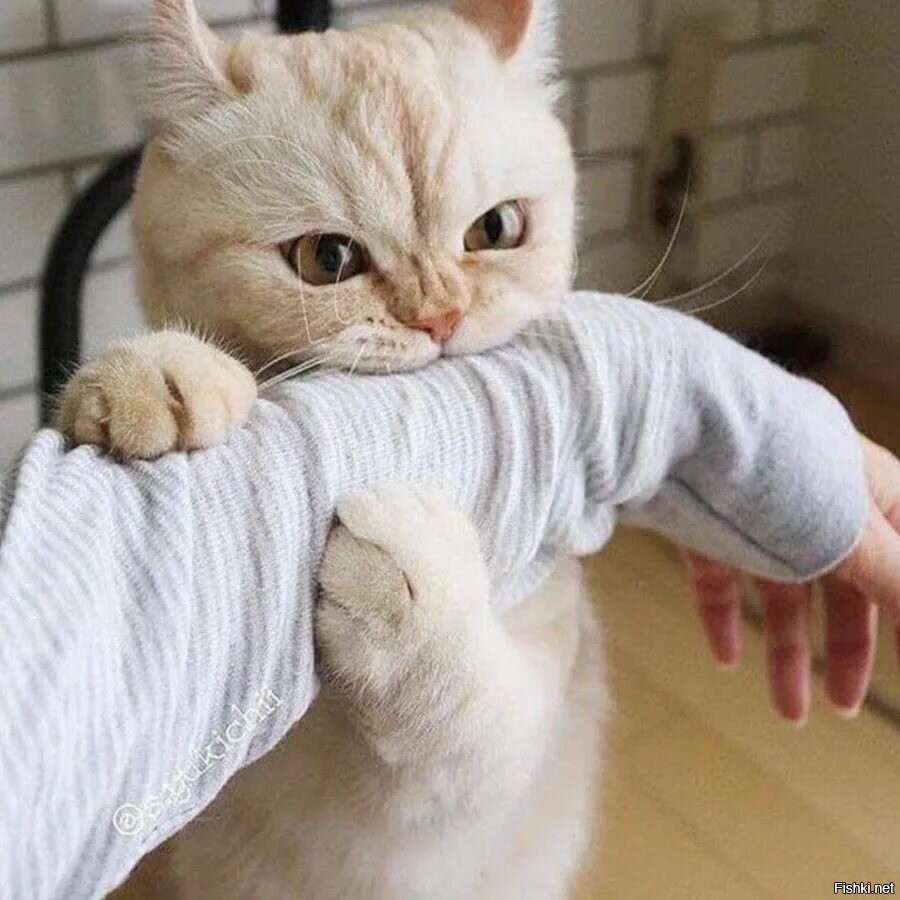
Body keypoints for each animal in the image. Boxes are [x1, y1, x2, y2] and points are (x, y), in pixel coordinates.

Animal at [62, 1, 607, 897]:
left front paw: (410, 573)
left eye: (496, 230)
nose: (440, 316)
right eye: (328, 259)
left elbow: (466, 716)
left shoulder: (475, 793)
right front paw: (154, 372)